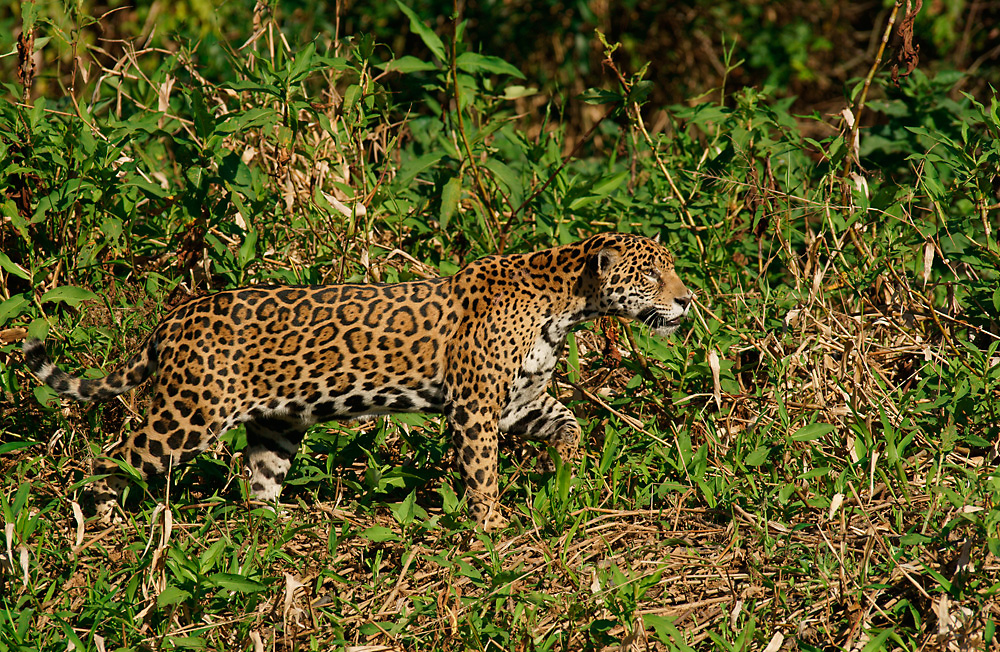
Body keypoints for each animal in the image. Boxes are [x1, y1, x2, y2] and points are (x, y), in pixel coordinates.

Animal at [23, 232, 693, 530]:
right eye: (652, 275)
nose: (687, 301)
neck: (567, 304)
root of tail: (172, 317)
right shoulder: (476, 408)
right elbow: (481, 471)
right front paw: (490, 527)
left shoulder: (518, 402)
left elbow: (569, 421)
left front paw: (569, 473)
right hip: (189, 412)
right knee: (118, 453)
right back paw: (98, 518)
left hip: (277, 423)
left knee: (258, 480)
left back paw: (273, 528)